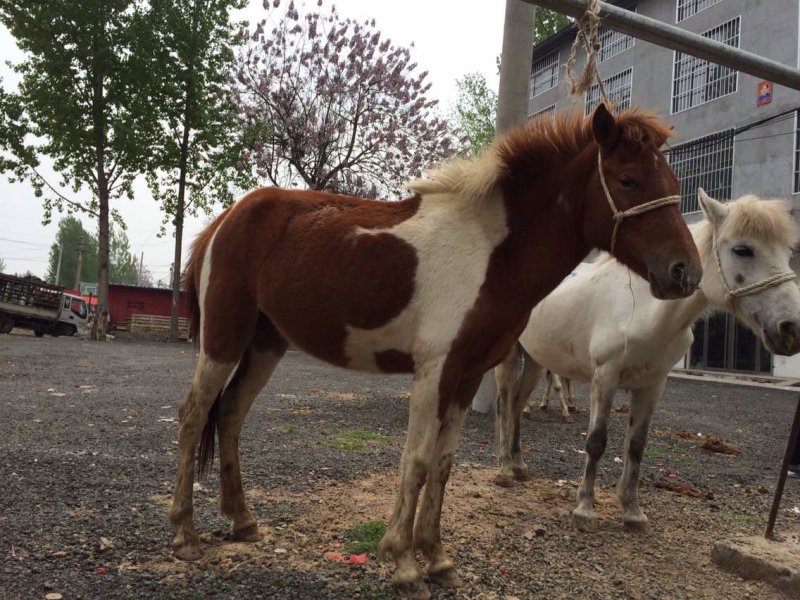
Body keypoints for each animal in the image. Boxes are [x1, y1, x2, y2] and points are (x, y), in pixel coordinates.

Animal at [169, 104, 702, 599]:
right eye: (628, 180)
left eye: (672, 180)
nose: (685, 273)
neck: (492, 254)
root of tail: (224, 220)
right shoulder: (435, 370)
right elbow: (418, 460)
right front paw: (404, 564)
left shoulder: (468, 375)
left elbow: (443, 464)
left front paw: (438, 559)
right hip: (224, 338)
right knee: (194, 414)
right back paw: (184, 534)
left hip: (265, 343)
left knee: (231, 414)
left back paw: (242, 520)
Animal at [493, 189, 800, 534]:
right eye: (742, 249)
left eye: (788, 251)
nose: (791, 328)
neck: (643, 310)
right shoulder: (605, 377)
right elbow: (596, 442)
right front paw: (584, 508)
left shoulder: (653, 385)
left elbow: (636, 446)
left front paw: (632, 511)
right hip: (511, 356)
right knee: (504, 403)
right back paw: (504, 470)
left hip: (536, 359)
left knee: (518, 404)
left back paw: (519, 465)